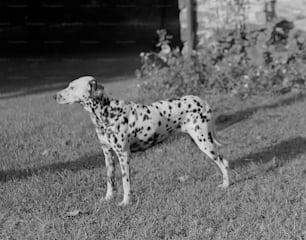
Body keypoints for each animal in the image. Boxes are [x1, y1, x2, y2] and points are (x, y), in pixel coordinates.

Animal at [53, 76, 228, 205]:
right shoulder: (108, 155)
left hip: (204, 142)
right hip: (199, 140)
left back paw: (226, 185)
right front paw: (108, 198)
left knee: (223, 162)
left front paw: (125, 202)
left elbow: (125, 182)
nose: (54, 96)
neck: (108, 112)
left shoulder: (123, 155)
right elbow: (110, 180)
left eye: (72, 87)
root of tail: (203, 101)